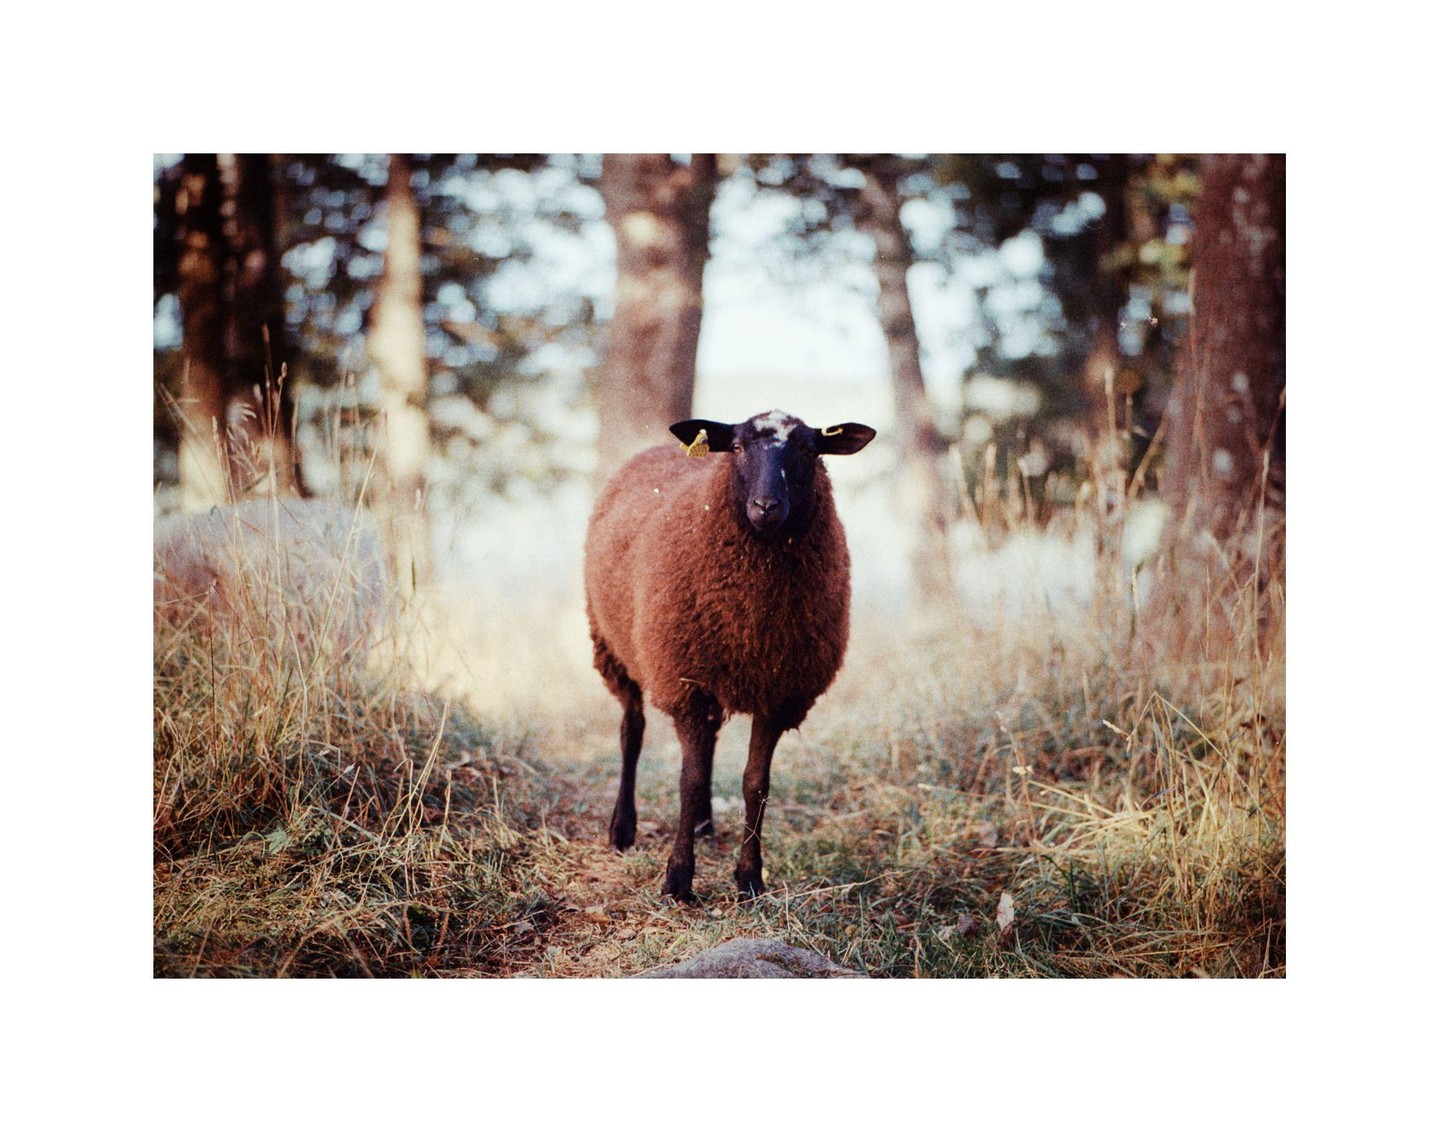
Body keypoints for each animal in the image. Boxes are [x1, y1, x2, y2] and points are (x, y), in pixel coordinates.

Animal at [583, 409, 876, 901]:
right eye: (737, 447)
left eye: (808, 449)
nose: (766, 506)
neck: (752, 619)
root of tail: (658, 447)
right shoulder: (686, 684)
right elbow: (689, 779)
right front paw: (678, 879)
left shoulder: (778, 691)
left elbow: (755, 784)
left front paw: (750, 879)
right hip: (615, 648)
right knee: (631, 733)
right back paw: (622, 829)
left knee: (708, 742)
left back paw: (702, 823)